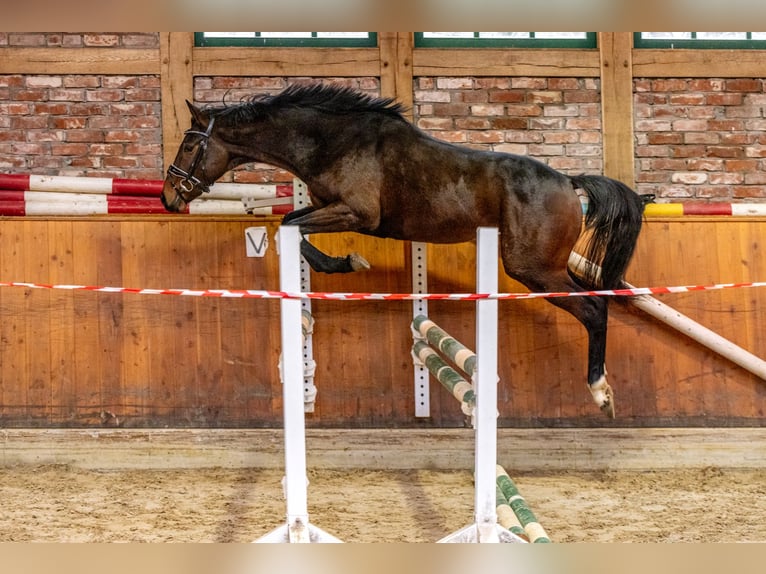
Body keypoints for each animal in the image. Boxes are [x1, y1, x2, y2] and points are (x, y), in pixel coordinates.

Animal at [164, 82, 648, 418]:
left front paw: (348, 262)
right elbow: (292, 227)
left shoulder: (356, 214)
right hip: (547, 267)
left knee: (594, 310)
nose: (169, 197)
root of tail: (569, 181)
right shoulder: (328, 207)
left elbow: (292, 228)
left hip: (533, 269)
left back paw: (601, 392)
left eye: (189, 145)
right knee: (596, 298)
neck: (330, 141)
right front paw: (345, 262)